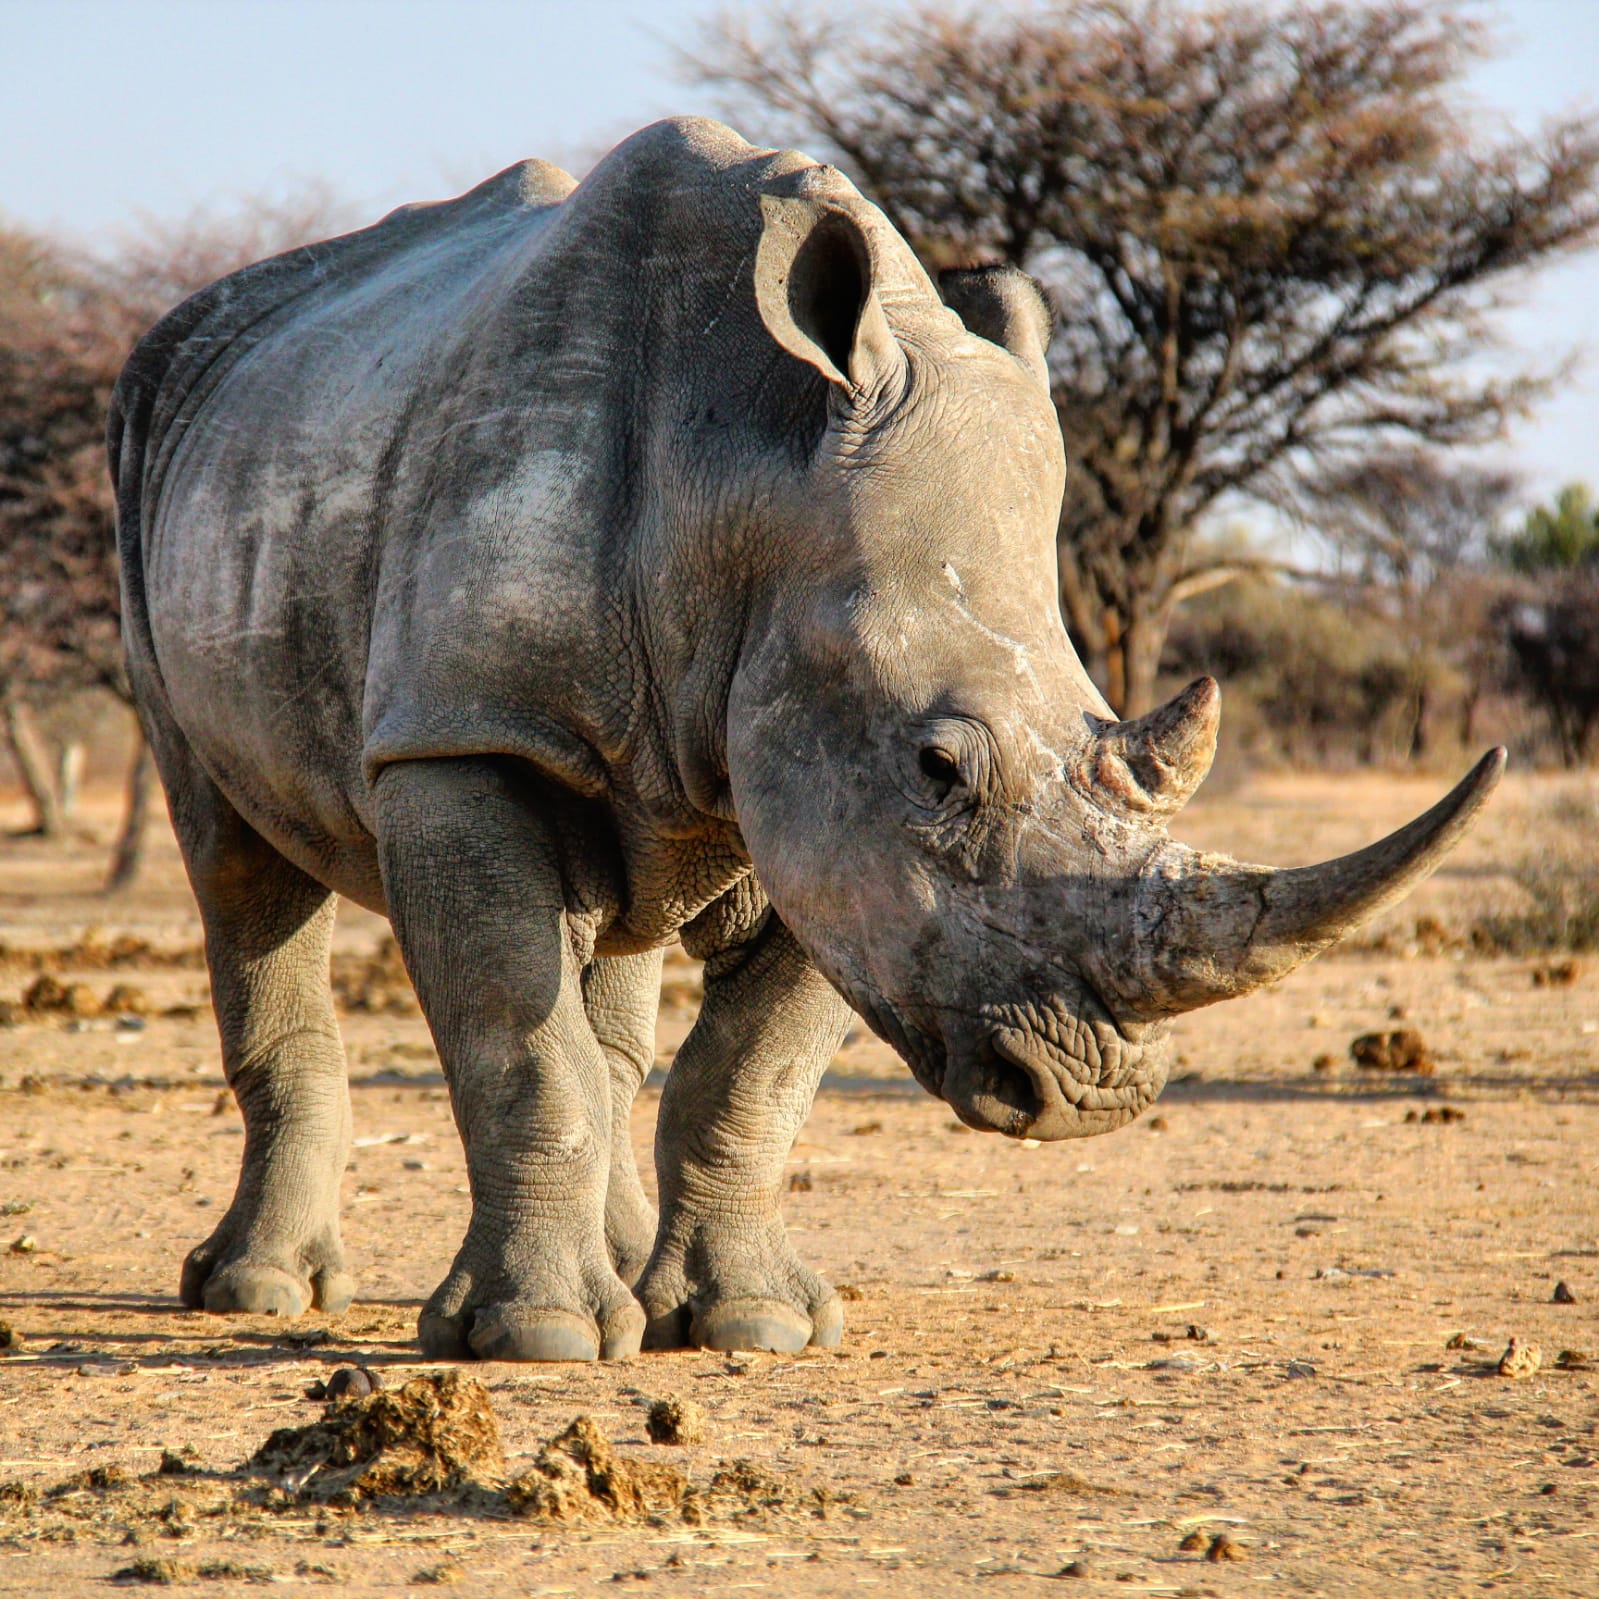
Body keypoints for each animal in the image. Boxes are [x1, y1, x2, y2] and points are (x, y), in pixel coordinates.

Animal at [110, 118, 1502, 1361]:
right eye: (941, 769)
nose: (1092, 1096)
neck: (740, 479)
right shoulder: (465, 735)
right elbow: (517, 1033)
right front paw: (539, 1342)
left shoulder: (830, 813)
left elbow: (750, 1067)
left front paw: (752, 1324)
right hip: (160, 464)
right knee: (235, 860)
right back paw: (260, 1292)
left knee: (614, 936)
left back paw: (619, 1270)